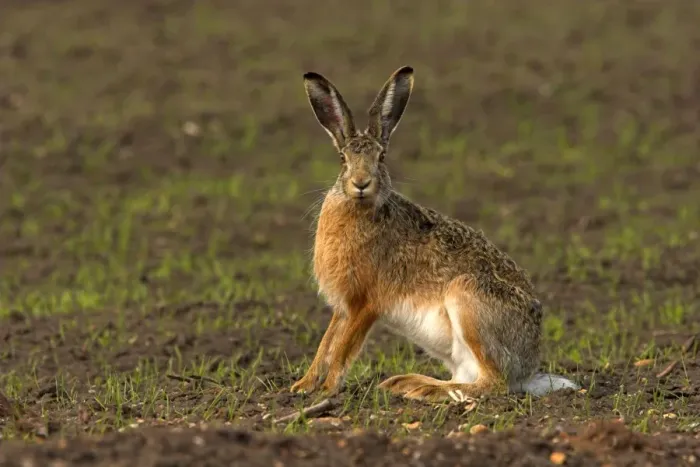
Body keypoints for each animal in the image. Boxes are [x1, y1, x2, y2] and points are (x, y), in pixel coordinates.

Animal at [290, 66, 579, 402]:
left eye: (382, 157)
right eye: (342, 159)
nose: (361, 183)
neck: (360, 208)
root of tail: (528, 369)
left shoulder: (364, 304)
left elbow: (342, 350)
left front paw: (326, 390)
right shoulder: (343, 307)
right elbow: (326, 343)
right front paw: (303, 385)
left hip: (468, 299)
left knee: (493, 384)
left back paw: (423, 389)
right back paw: (405, 382)